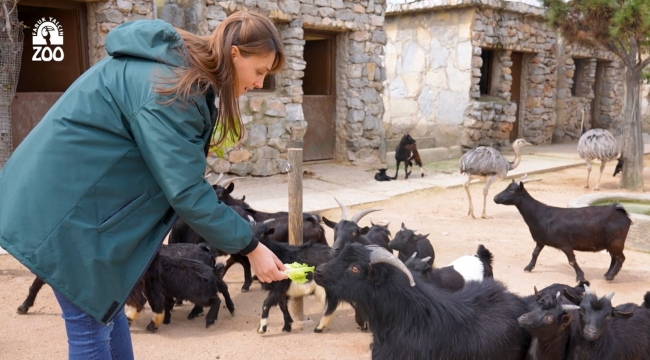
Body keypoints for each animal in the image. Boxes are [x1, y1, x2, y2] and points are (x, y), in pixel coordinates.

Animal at [492, 181, 628, 282]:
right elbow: (535, 253)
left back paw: (610, 276)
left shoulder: (565, 244)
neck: (541, 215)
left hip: (616, 241)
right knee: (614, 258)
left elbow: (572, 261)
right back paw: (607, 274)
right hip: (611, 243)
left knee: (620, 258)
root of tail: (621, 213)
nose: (495, 198)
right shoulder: (540, 240)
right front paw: (528, 267)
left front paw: (580, 277)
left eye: (512, 190)